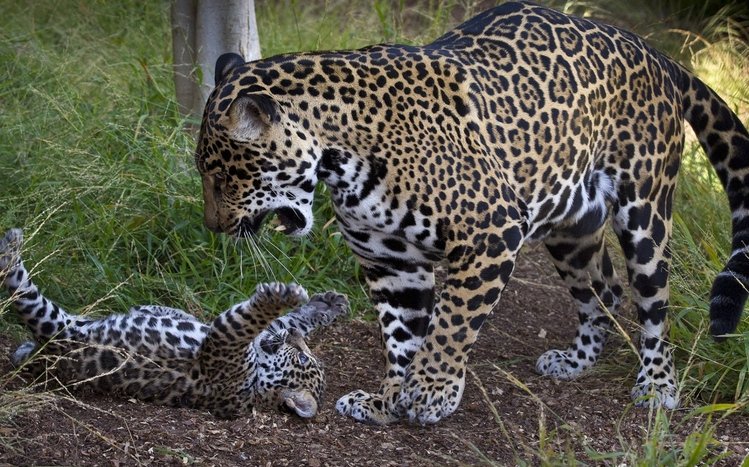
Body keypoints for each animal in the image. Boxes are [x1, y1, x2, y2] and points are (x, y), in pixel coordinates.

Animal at [0, 228, 349, 419]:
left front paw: (280, 296)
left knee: (17, 283)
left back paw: (11, 242)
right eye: (304, 355)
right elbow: (287, 320)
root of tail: (46, 353)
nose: (295, 340)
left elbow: (251, 317)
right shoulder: (255, 337)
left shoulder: (225, 339)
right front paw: (326, 303)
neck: (258, 380)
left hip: (57, 322)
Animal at [193, 1, 749, 425]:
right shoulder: (390, 262)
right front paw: (389, 399)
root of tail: (650, 50)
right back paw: (576, 360)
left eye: (223, 177)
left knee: (654, 306)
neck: (340, 155)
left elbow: (451, 325)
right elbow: (401, 335)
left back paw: (657, 385)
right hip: (571, 225)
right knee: (603, 290)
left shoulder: (491, 233)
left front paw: (431, 391)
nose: (214, 227)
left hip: (645, 211)